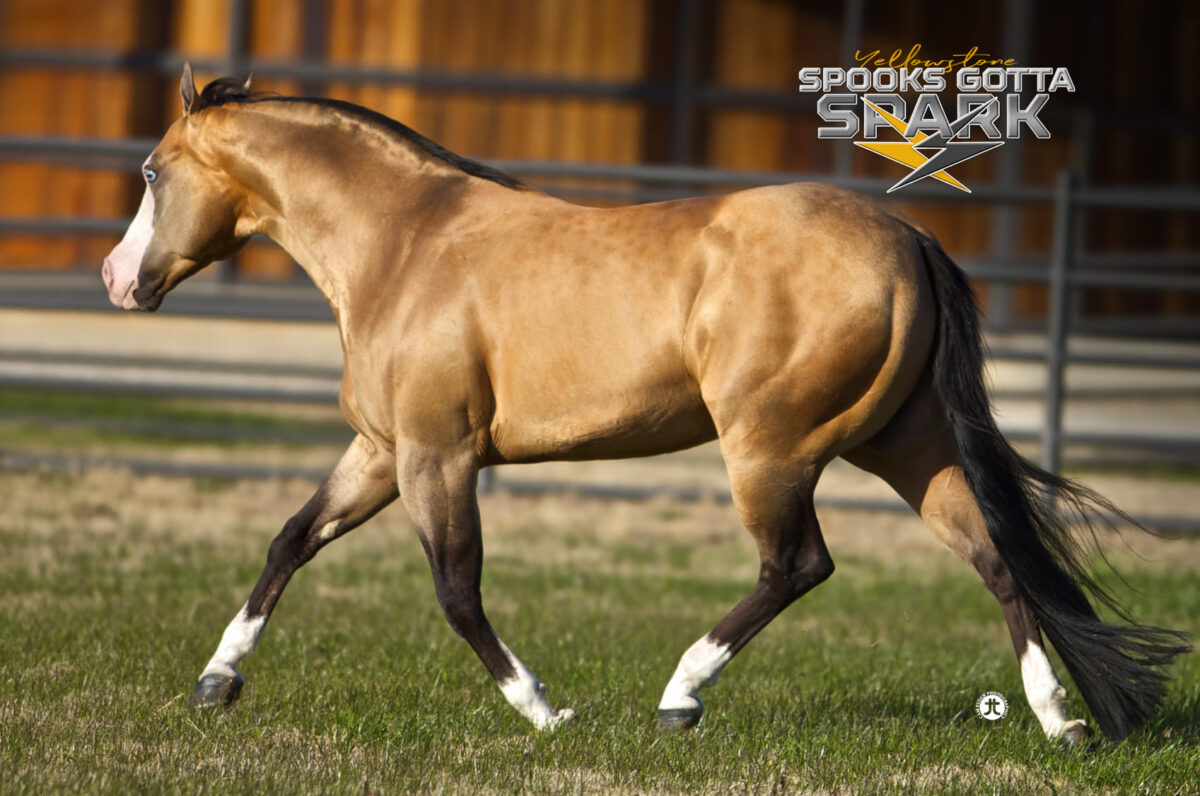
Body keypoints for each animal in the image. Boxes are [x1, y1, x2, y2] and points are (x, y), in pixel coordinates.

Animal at [102, 64, 1186, 744]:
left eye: (151, 171)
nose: (118, 281)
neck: (405, 243)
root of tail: (906, 237)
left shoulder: (436, 455)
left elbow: (456, 588)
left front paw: (545, 711)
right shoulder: (379, 449)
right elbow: (291, 539)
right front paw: (216, 681)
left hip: (772, 450)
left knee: (798, 564)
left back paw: (679, 698)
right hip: (906, 446)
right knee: (996, 562)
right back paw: (1064, 723)